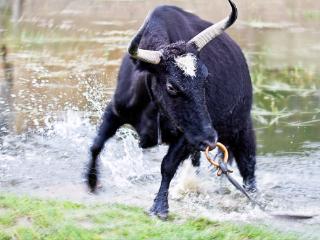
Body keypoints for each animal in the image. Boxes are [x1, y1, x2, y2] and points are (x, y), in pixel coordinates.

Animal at [86, 0, 256, 219]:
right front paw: (91, 182)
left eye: (205, 77)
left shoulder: (187, 135)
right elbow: (96, 145)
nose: (210, 138)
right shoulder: (115, 112)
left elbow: (167, 166)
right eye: (171, 87)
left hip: (242, 129)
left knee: (248, 167)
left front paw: (159, 207)